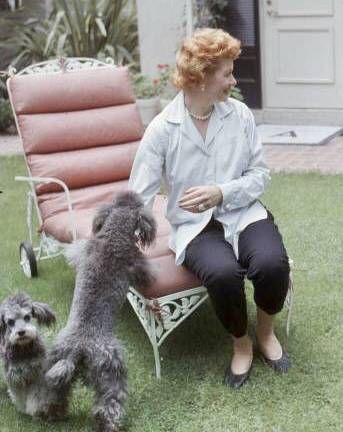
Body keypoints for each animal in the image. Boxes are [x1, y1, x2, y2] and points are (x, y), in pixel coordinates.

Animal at [45, 192, 157, 432]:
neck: (114, 233)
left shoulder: (81, 251)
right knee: (110, 402)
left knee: (54, 396)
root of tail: (77, 350)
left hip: (55, 366)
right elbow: (147, 272)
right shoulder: (138, 265)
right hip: (112, 369)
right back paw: (110, 423)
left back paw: (52, 414)